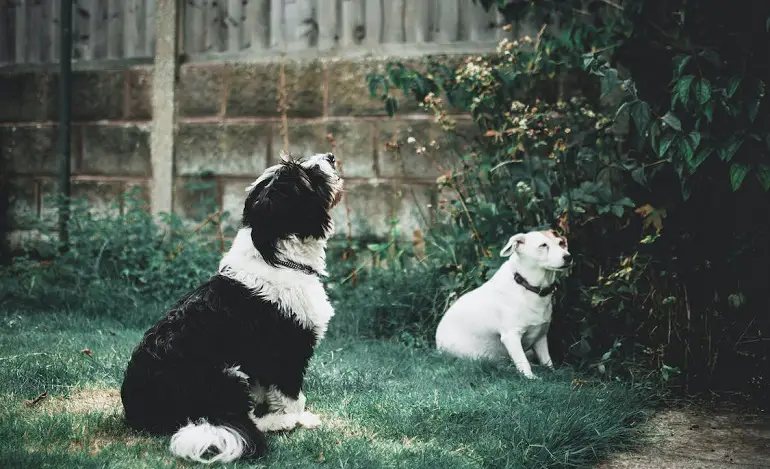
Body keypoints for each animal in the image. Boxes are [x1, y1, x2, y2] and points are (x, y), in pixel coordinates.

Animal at [120, 152, 342, 462]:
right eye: (305, 174)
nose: (330, 157)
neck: (277, 257)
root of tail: (139, 411)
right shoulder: (287, 351)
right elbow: (292, 396)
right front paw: (298, 418)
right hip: (226, 374)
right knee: (239, 416)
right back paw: (281, 423)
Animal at [432, 229, 568, 378]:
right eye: (543, 245)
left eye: (561, 243)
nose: (568, 257)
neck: (527, 286)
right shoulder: (511, 337)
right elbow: (523, 362)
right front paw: (530, 378)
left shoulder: (540, 337)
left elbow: (547, 361)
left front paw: (553, 373)